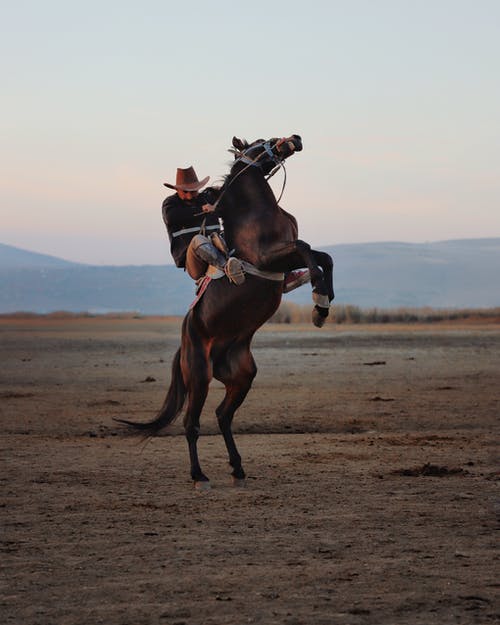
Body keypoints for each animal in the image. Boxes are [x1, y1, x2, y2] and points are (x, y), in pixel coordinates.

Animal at [118, 135, 332, 488]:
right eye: (261, 141)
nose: (295, 139)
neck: (256, 211)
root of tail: (185, 343)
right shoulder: (270, 257)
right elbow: (308, 252)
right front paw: (317, 295)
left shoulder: (284, 257)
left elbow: (323, 256)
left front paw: (322, 305)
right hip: (199, 377)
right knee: (192, 423)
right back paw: (199, 476)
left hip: (241, 376)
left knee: (222, 415)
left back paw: (238, 468)